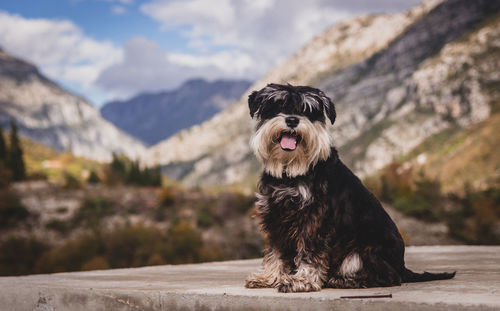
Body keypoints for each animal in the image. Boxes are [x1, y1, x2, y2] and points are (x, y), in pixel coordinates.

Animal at [244, 83, 456, 292]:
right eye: (277, 105)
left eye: (308, 110)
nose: (292, 120)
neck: (291, 172)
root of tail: (402, 267)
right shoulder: (275, 216)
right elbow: (276, 252)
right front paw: (269, 277)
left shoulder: (314, 219)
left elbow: (309, 252)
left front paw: (302, 280)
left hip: (363, 249)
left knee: (387, 277)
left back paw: (344, 280)